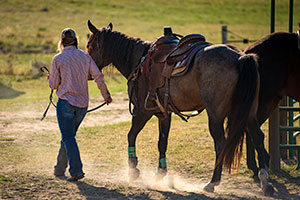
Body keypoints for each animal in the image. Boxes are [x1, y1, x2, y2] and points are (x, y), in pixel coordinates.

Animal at [86, 20, 274, 195]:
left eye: (89, 45)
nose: (88, 74)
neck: (139, 60)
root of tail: (240, 57)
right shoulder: (164, 113)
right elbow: (162, 142)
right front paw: (160, 172)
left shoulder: (141, 111)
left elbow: (131, 135)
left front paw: (133, 169)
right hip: (249, 112)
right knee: (258, 137)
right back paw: (266, 182)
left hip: (216, 115)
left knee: (220, 143)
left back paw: (212, 182)